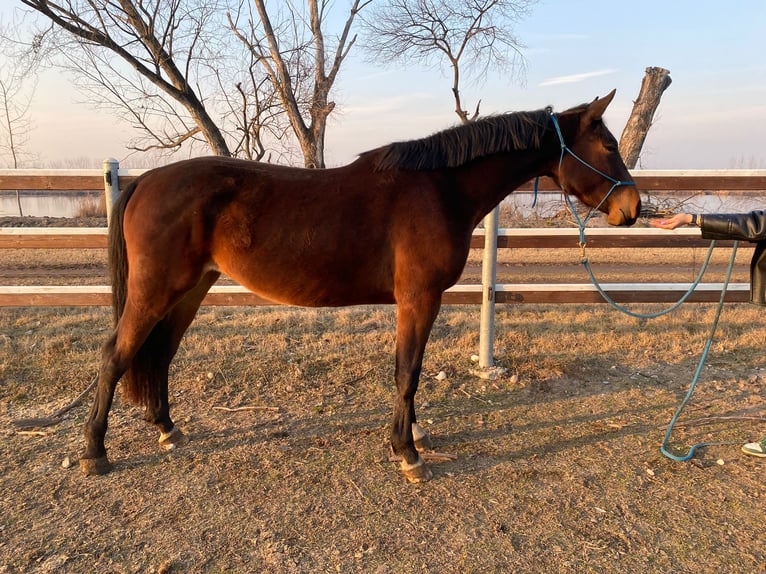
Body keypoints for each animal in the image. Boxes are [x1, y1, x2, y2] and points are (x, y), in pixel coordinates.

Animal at [79, 90, 640, 484]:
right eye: (609, 145)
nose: (632, 208)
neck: (440, 189)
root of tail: (145, 181)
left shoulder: (416, 302)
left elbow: (408, 371)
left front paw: (409, 438)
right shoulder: (419, 299)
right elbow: (408, 372)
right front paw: (407, 453)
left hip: (189, 290)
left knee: (159, 354)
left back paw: (167, 428)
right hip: (156, 291)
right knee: (115, 354)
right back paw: (95, 452)